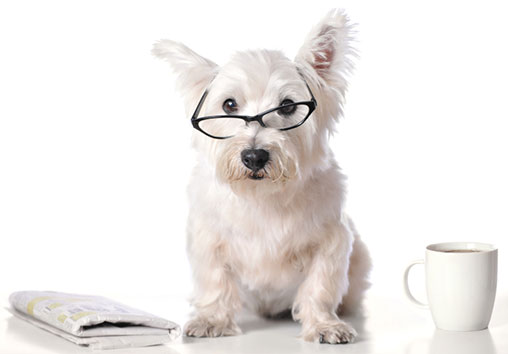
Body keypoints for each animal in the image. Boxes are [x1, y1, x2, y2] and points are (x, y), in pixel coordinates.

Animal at [153, 9, 372, 344]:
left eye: (288, 105)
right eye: (229, 104)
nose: (254, 156)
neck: (263, 196)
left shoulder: (332, 240)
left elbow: (320, 285)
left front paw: (324, 325)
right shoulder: (208, 237)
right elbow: (214, 280)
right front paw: (212, 320)